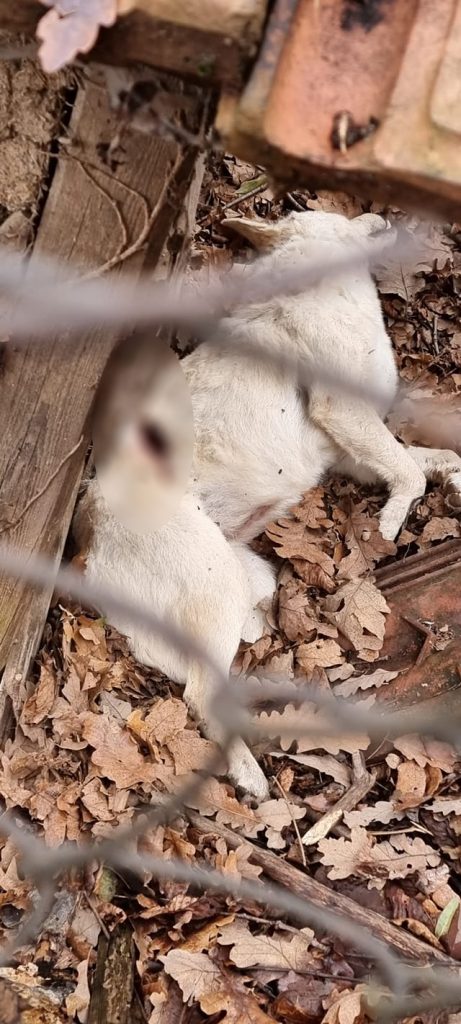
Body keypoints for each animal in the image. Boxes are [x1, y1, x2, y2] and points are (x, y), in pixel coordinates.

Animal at [74, 209, 461, 798]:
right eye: (340, 215)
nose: (382, 215)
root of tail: (87, 542)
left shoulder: (353, 450)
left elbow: (427, 459)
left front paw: (453, 477)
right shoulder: (345, 411)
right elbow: (411, 474)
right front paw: (392, 524)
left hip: (246, 584)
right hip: (215, 586)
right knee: (199, 695)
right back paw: (248, 775)